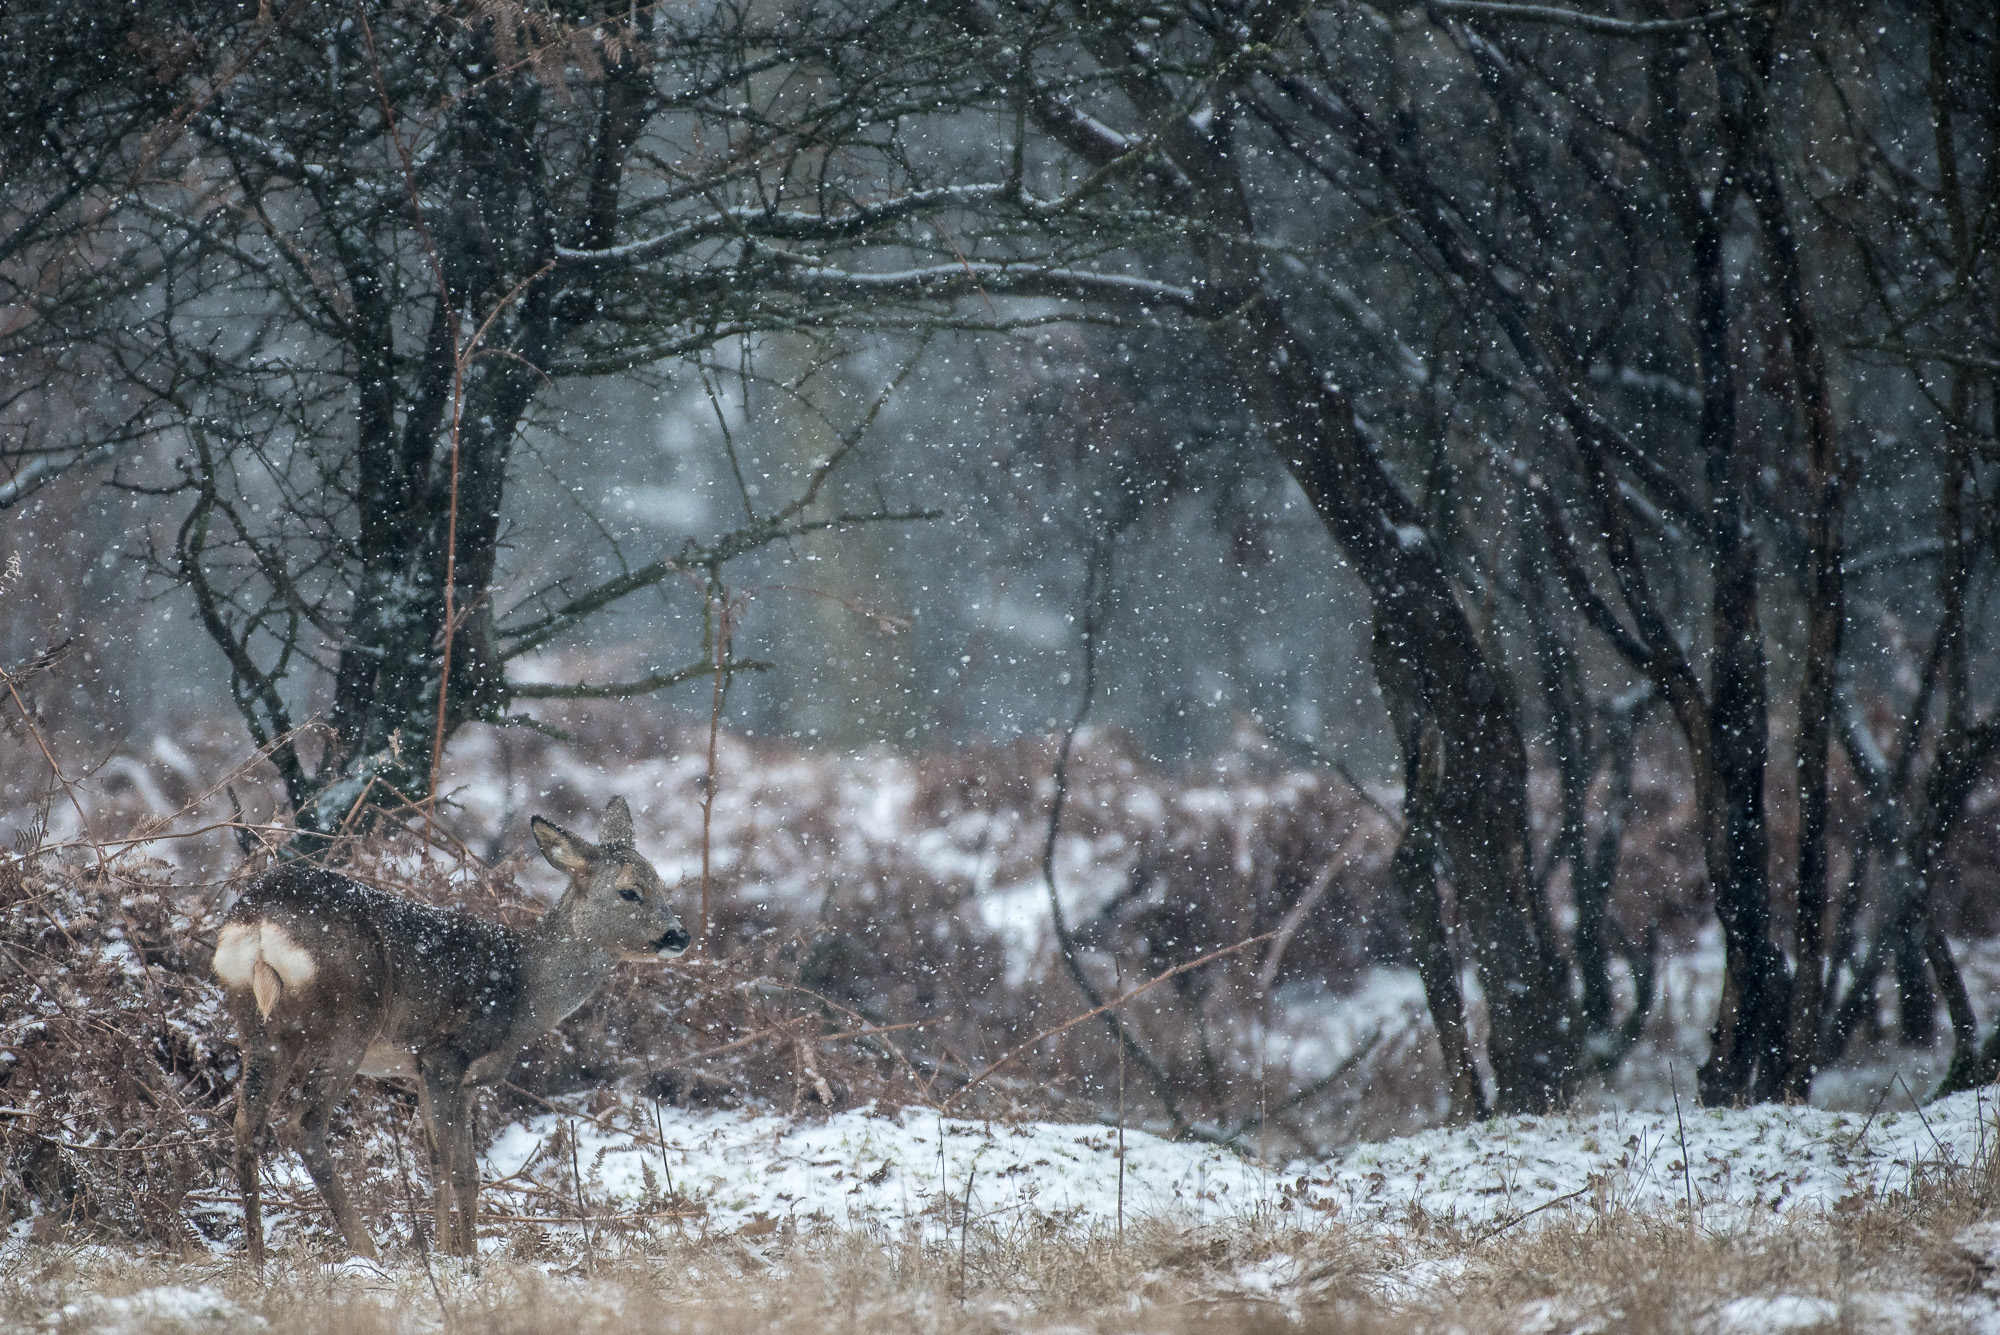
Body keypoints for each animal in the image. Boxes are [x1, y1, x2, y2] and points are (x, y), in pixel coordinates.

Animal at [211, 796, 689, 1264]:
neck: (523, 993)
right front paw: (454, 1256)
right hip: (350, 1021)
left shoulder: (446, 1076)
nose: (679, 935)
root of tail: (257, 920)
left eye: (661, 885)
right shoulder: (446, 1054)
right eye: (630, 891)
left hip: (257, 1023)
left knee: (246, 1124)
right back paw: (366, 1251)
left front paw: (456, 1252)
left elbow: (456, 1167)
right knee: (304, 1125)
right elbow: (450, 1165)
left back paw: (257, 1256)